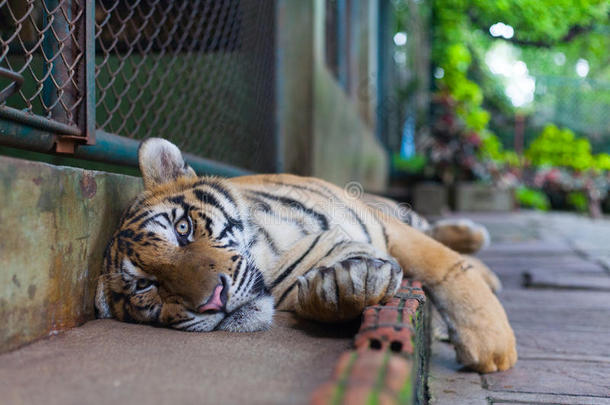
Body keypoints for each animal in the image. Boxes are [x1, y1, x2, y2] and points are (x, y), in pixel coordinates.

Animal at [97, 138, 516, 372]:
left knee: (432, 229)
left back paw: (476, 239)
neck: (271, 247)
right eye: (146, 287)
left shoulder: (386, 228)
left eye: (182, 229)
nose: (214, 301)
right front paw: (343, 292)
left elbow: (446, 267)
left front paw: (492, 348)